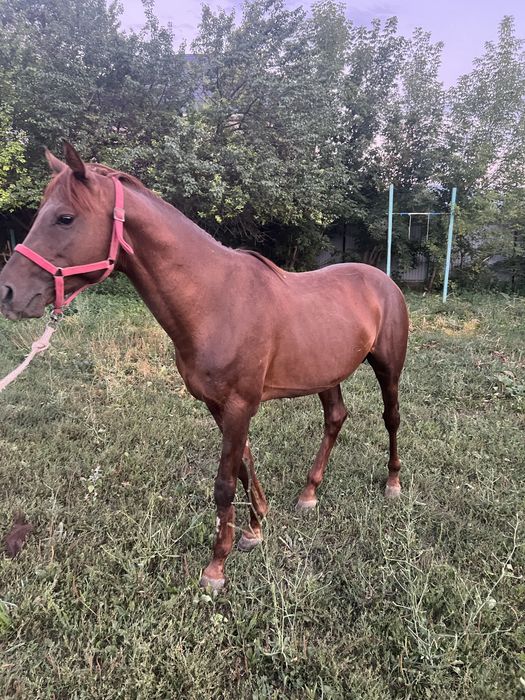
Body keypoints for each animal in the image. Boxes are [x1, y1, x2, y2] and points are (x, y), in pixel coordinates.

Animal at [0, 143, 409, 590]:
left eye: (65, 218)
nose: (8, 291)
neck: (215, 300)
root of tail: (382, 280)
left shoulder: (240, 405)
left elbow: (225, 483)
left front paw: (217, 566)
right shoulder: (218, 405)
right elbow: (245, 465)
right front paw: (255, 529)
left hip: (388, 367)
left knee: (391, 417)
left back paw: (392, 484)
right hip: (326, 374)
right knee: (335, 417)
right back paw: (308, 494)